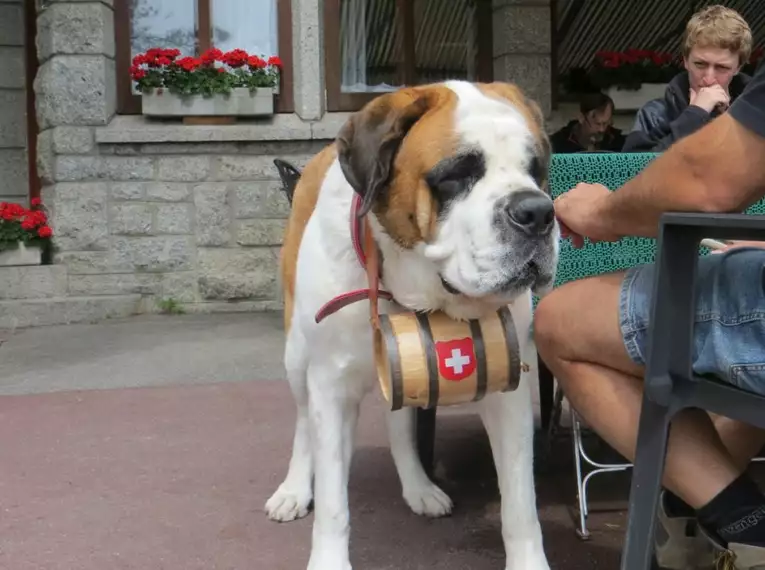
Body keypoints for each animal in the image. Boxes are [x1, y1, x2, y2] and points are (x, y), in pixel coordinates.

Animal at [266, 80, 560, 568]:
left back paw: (419, 487)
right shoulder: (330, 386)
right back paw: (292, 489)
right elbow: (333, 502)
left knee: (400, 425)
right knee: (304, 421)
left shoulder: (505, 386)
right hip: (296, 355)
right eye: (457, 173)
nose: (537, 211)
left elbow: (520, 503)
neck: (406, 289)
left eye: (535, 170)